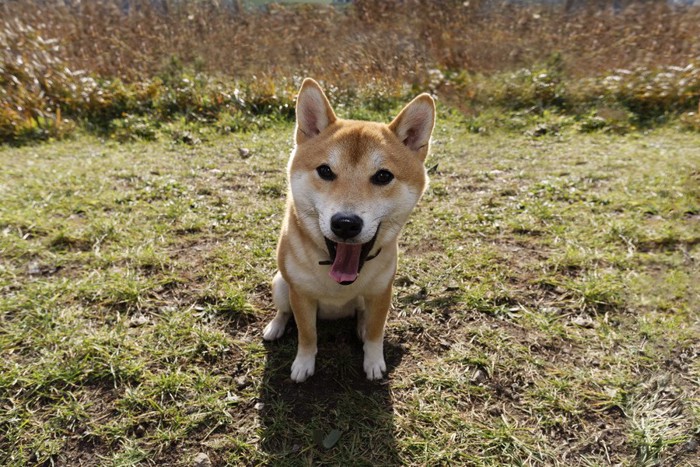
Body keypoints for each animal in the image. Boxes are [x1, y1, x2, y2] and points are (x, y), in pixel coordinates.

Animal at [264, 77, 434, 384]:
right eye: (325, 171)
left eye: (383, 176)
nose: (345, 223)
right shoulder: (301, 296)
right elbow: (307, 334)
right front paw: (303, 364)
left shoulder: (381, 292)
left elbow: (377, 332)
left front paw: (374, 361)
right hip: (281, 285)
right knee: (284, 312)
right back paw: (276, 326)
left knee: (364, 320)